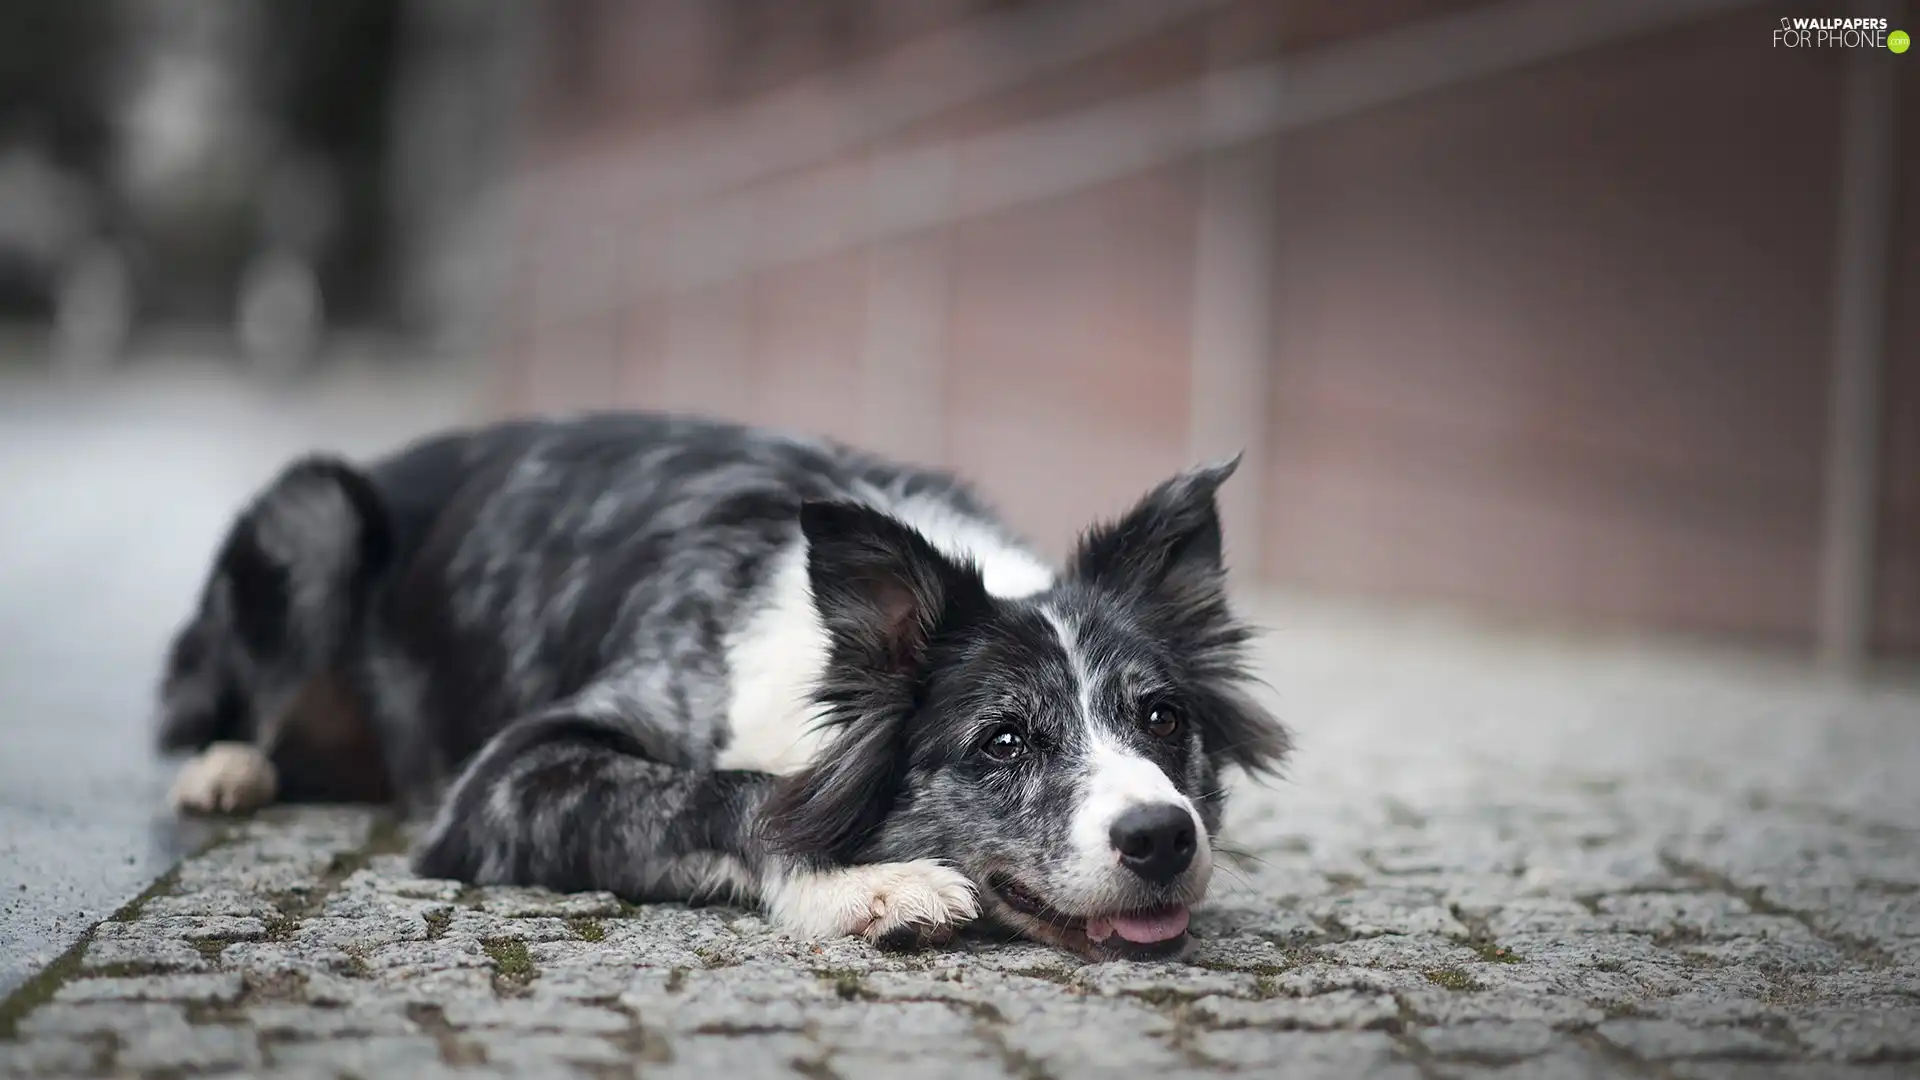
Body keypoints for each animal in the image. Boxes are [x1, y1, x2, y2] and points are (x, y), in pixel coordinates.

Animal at [161, 411, 1290, 957]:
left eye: (1163, 717)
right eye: (1004, 741)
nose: (1162, 839)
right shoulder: (502, 782)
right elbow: (730, 790)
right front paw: (863, 885)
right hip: (316, 511)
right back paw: (225, 770)